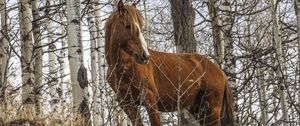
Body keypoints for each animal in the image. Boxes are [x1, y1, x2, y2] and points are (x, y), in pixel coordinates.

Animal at [104, 0, 236, 125]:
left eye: (140, 27)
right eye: (128, 26)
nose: (145, 56)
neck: (124, 67)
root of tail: (220, 72)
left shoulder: (150, 100)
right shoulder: (127, 105)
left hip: (212, 110)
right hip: (199, 110)